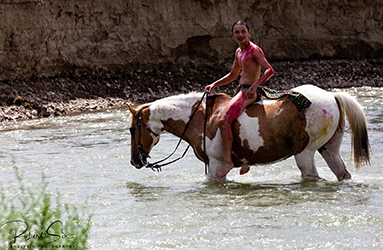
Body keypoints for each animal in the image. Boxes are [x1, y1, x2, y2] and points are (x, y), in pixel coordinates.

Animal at [129, 84, 372, 182]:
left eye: (132, 129)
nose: (134, 161)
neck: (202, 117)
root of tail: (332, 96)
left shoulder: (216, 164)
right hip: (329, 150)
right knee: (342, 174)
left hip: (305, 153)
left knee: (311, 176)